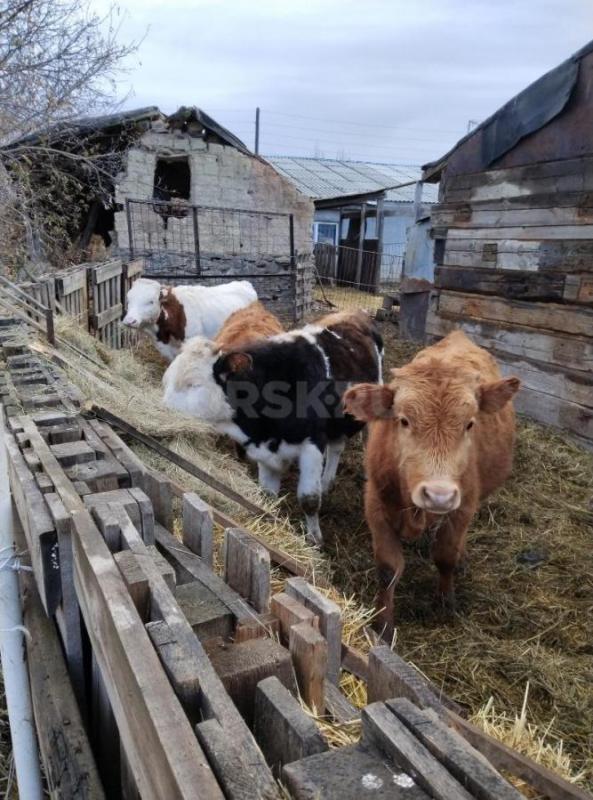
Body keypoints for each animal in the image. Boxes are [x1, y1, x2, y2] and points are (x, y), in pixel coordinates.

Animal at [162, 310, 384, 540]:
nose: (162, 409)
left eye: (193, 384)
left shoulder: (312, 444)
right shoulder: (265, 451)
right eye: (166, 381)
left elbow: (309, 500)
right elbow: (267, 495)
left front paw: (314, 538)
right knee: (337, 447)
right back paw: (326, 482)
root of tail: (355, 312)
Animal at [342, 330, 520, 636]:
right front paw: (383, 625)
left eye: (469, 424)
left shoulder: (464, 505)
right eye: (403, 420)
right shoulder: (376, 502)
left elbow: (445, 556)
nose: (439, 495)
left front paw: (446, 601)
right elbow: (388, 569)